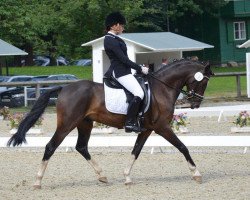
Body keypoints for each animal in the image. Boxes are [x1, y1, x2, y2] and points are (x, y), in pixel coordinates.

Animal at [7, 59, 213, 188]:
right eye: (203, 82)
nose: (196, 104)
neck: (161, 89)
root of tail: (64, 87)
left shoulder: (147, 129)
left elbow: (136, 151)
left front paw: (127, 177)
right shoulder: (162, 127)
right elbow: (182, 147)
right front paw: (196, 174)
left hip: (85, 123)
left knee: (81, 147)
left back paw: (102, 176)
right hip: (67, 124)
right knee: (51, 146)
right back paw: (37, 182)